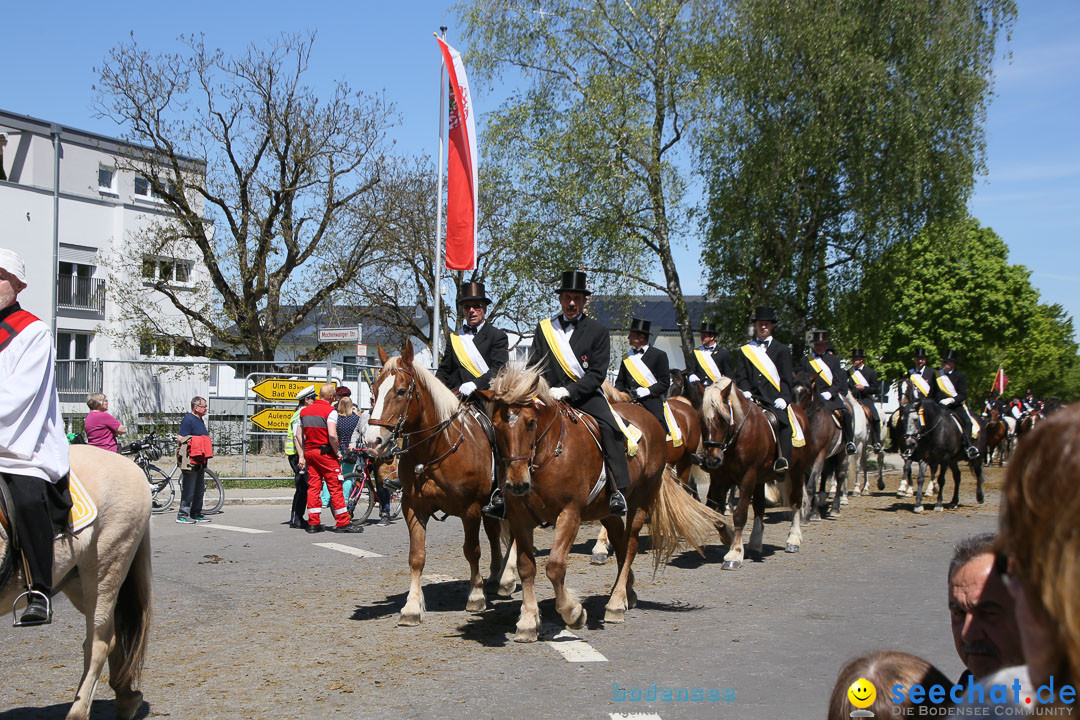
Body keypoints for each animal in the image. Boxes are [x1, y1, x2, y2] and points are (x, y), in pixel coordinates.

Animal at [0, 444, 153, 720]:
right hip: (75, 578)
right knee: (114, 626)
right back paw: (125, 695)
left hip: (105, 565)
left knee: (99, 642)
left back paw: (83, 710)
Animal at [362, 343, 509, 626]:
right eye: (373, 390)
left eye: (401, 391)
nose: (373, 442)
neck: (435, 449)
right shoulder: (413, 507)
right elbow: (416, 557)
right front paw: (411, 607)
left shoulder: (471, 509)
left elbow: (472, 550)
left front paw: (476, 596)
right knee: (495, 532)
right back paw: (497, 575)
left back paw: (507, 578)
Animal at [699, 377, 812, 569]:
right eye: (701, 419)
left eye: (722, 418)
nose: (712, 460)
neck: (736, 439)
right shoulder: (719, 479)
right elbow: (714, 512)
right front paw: (729, 538)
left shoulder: (747, 477)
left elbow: (740, 514)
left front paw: (735, 554)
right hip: (760, 479)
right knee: (759, 506)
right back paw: (755, 543)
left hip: (797, 471)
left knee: (796, 501)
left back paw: (793, 540)